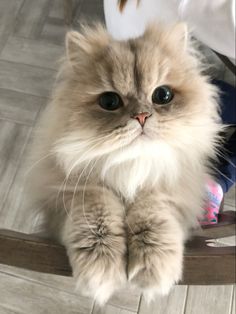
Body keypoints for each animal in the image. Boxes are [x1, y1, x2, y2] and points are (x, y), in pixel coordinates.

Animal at [27, 23, 221, 304]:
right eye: (109, 102)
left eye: (162, 95)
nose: (141, 116)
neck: (131, 164)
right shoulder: (75, 190)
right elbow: (98, 215)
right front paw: (101, 270)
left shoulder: (167, 189)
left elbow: (153, 216)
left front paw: (153, 270)